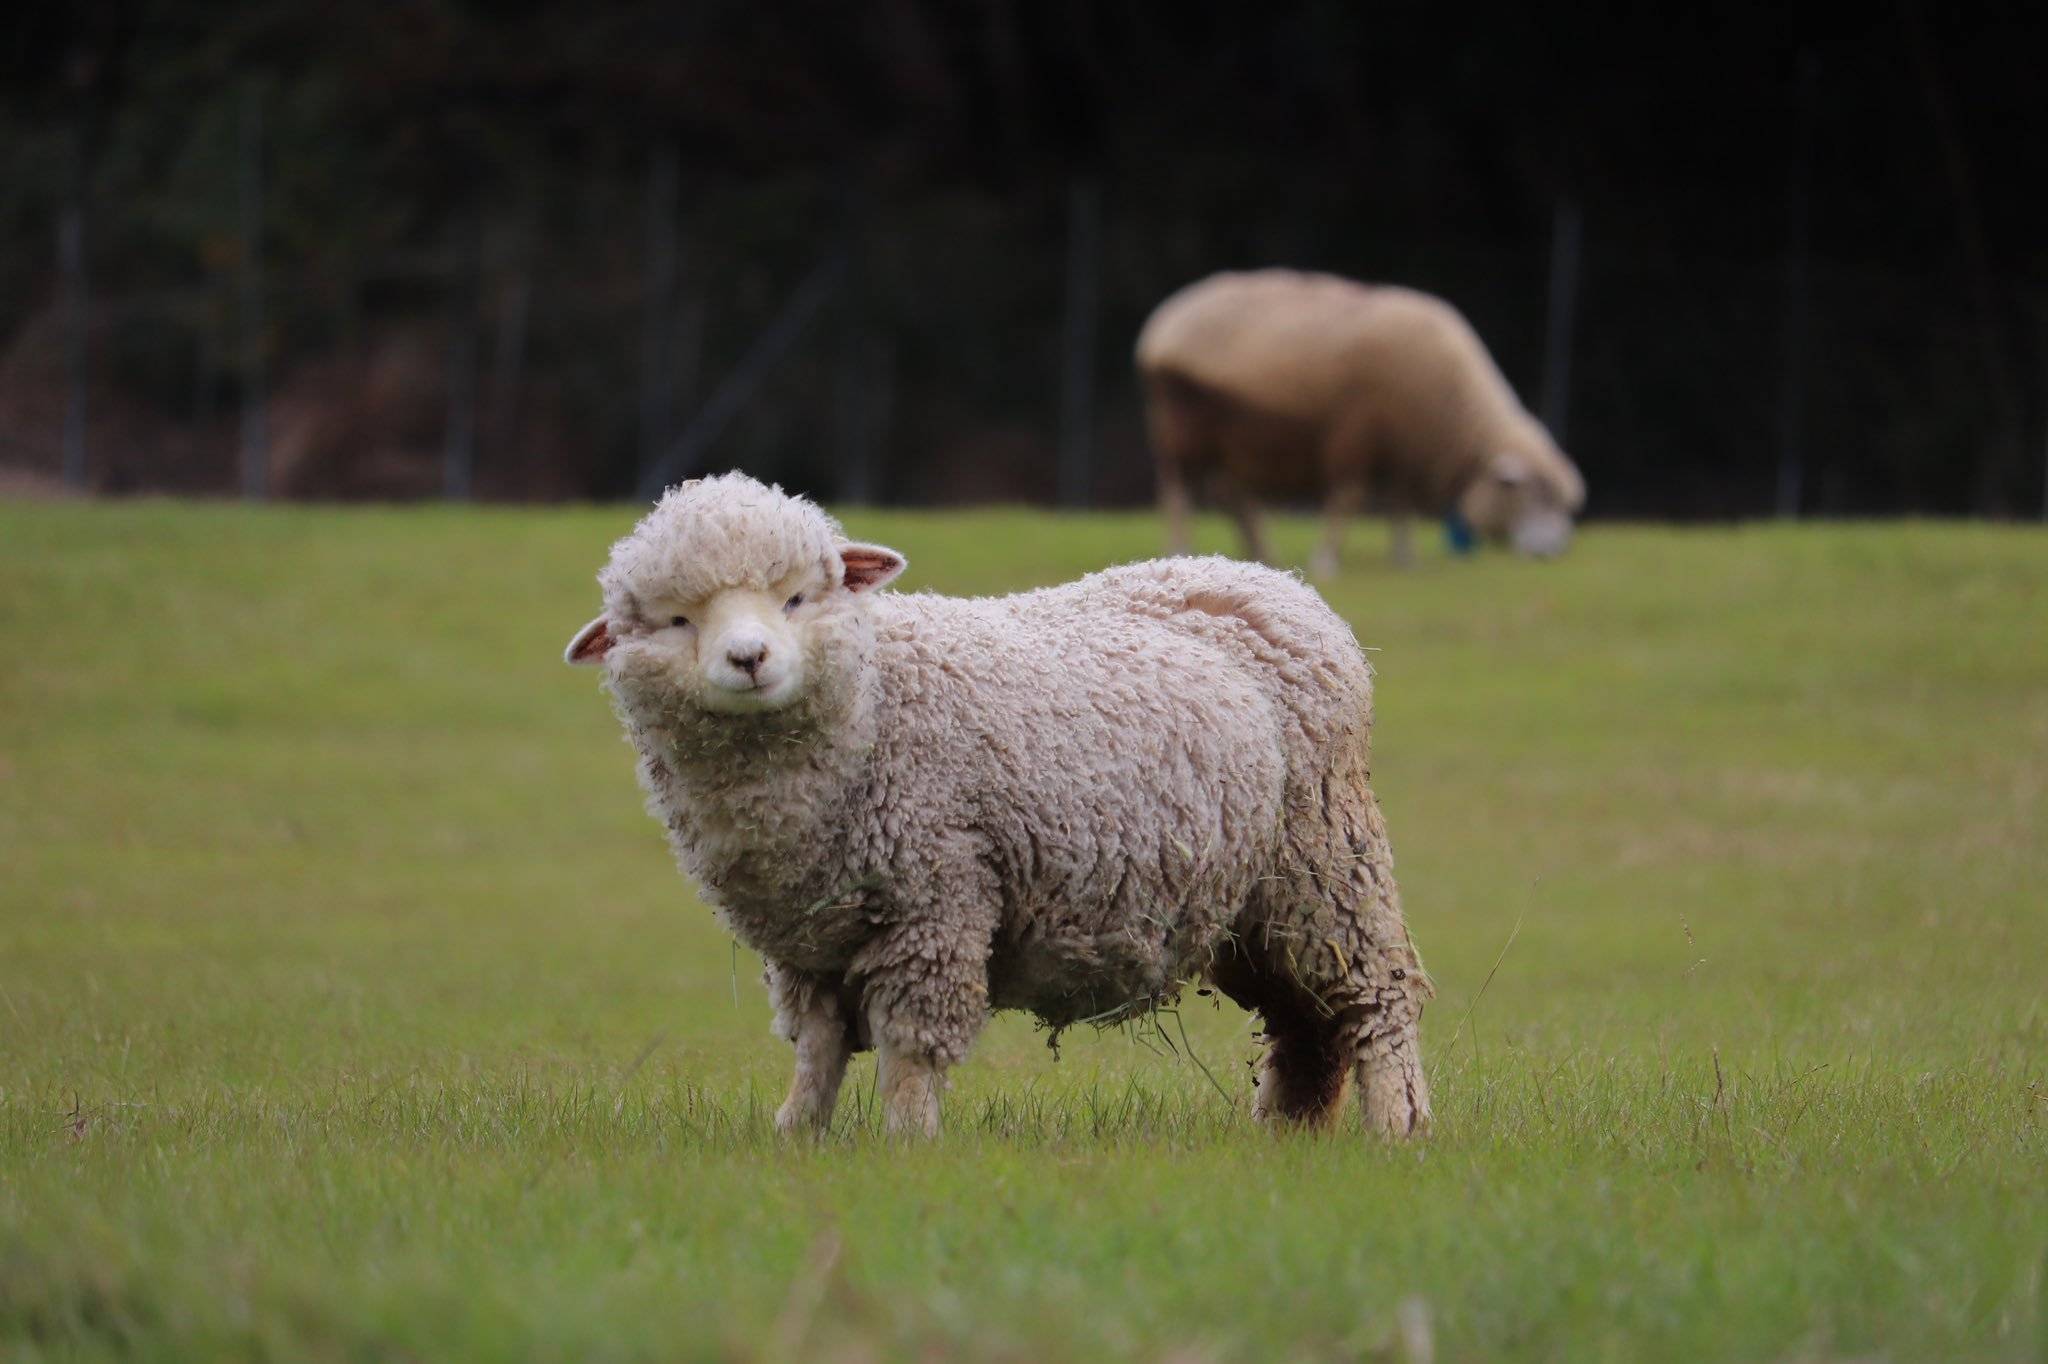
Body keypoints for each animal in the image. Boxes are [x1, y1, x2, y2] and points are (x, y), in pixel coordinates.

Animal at [569, 473, 1433, 1130]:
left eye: (797, 598)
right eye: (677, 620)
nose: (749, 659)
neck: (875, 701)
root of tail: (1275, 583)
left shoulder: (935, 900)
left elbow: (911, 1048)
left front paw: (906, 1142)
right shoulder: (807, 943)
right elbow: (816, 1050)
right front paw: (798, 1135)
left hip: (1327, 859)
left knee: (1375, 996)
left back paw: (1397, 1127)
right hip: (1250, 903)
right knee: (1306, 1024)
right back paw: (1286, 1133)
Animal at [1138, 268, 1581, 569]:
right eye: (1536, 493)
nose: (1554, 552)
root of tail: (1162, 325)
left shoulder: (1400, 448)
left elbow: (1399, 505)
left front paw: (1405, 558)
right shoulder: (1357, 431)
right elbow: (1347, 498)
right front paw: (1326, 559)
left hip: (1229, 438)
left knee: (1230, 495)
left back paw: (1261, 552)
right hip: (1184, 427)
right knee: (1178, 493)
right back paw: (1180, 547)